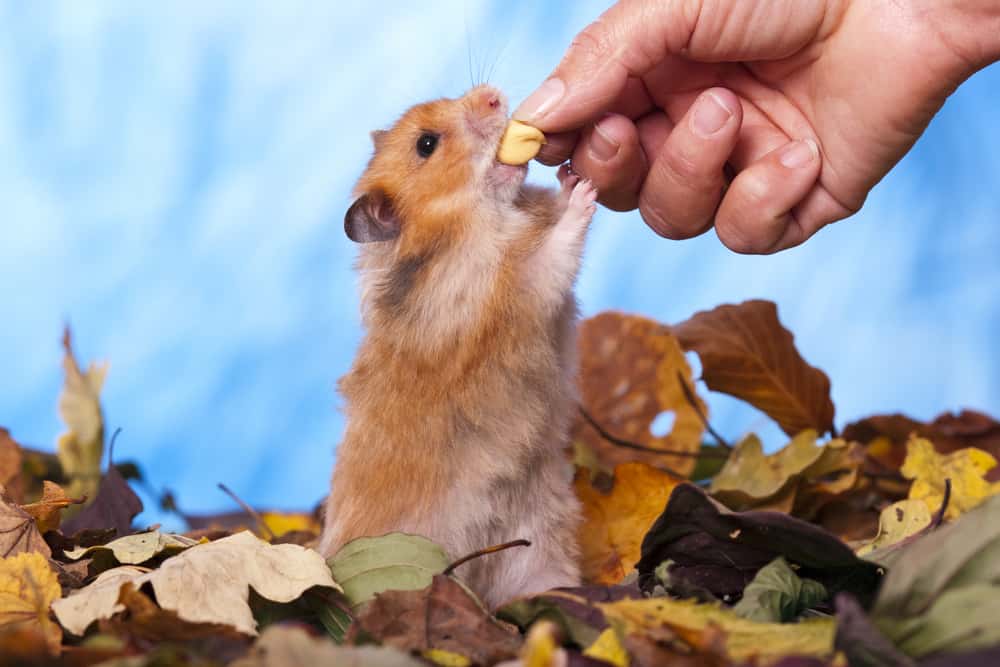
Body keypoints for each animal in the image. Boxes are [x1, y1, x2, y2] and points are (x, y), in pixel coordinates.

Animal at [320, 85, 592, 612]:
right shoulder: (519, 289)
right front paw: (585, 192)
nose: (493, 96)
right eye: (426, 144)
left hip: (542, 537)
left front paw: (570, 176)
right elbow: (555, 251)